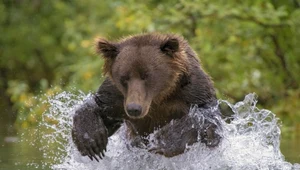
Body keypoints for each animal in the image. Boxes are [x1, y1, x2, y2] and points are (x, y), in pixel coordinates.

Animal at [72, 32, 223, 161]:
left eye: (146, 75)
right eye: (124, 77)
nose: (134, 108)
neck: (160, 97)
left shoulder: (193, 91)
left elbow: (209, 123)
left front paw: (161, 141)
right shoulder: (116, 98)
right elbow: (99, 107)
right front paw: (91, 140)